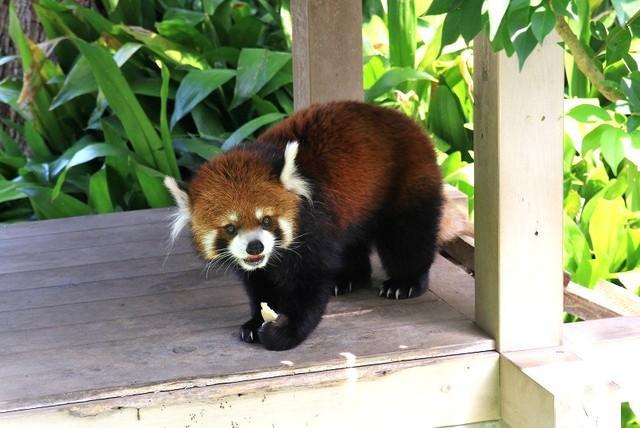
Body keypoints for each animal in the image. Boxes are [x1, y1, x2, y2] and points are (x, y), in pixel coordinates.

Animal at [166, 101, 450, 352]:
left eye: (266, 220)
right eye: (230, 228)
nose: (255, 247)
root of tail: (404, 118)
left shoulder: (313, 228)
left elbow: (308, 286)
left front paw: (285, 332)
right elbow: (260, 285)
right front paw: (256, 321)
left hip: (409, 179)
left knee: (407, 237)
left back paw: (406, 282)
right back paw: (348, 278)